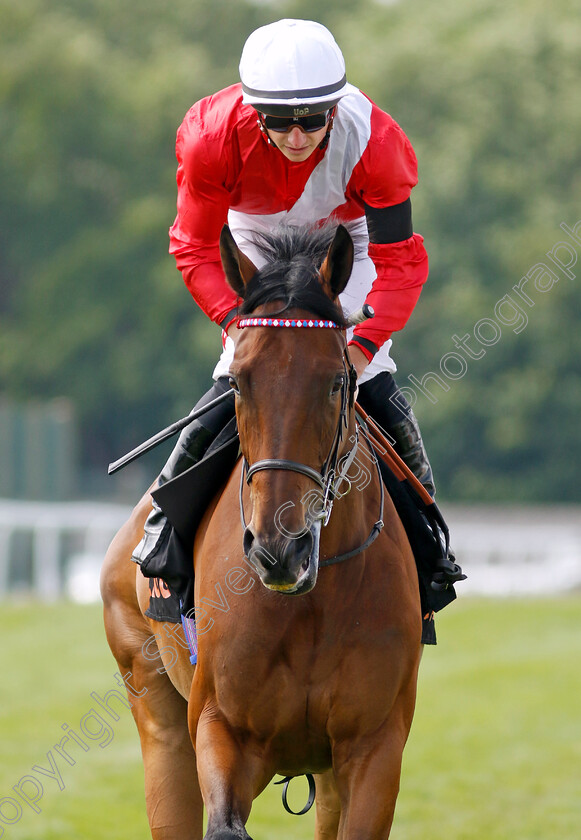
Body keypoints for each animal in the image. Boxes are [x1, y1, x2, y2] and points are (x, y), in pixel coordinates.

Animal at [101, 225, 422, 840]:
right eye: (239, 384)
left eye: (336, 382)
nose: (280, 550)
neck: (310, 602)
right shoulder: (222, 728)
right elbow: (225, 823)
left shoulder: (373, 746)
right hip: (154, 704)